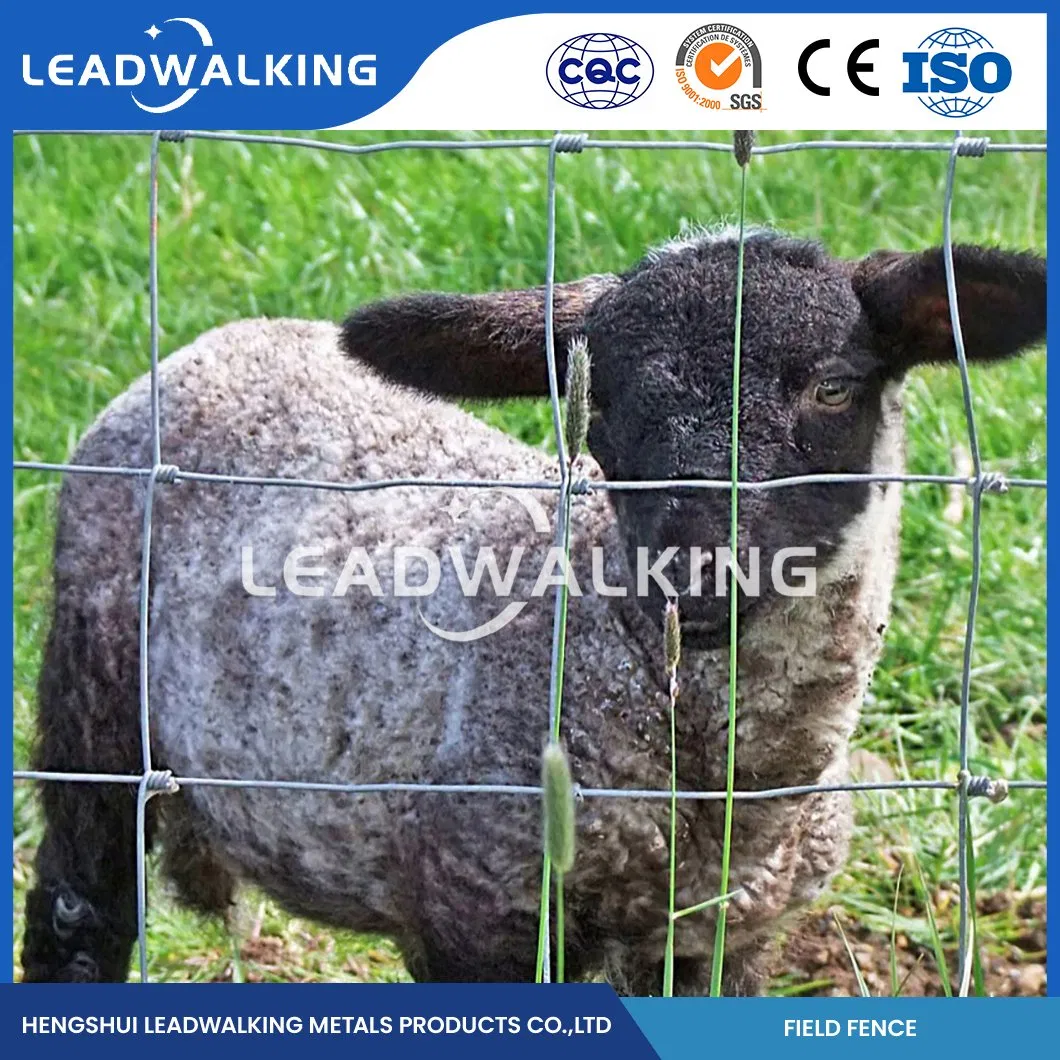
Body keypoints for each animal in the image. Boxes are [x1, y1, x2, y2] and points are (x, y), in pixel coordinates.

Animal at [21, 230, 1045, 991]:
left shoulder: (723, 940)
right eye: (606, 409)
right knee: (78, 912)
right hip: (95, 698)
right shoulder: (480, 914)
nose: (693, 573)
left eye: (833, 386)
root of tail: (219, 340)